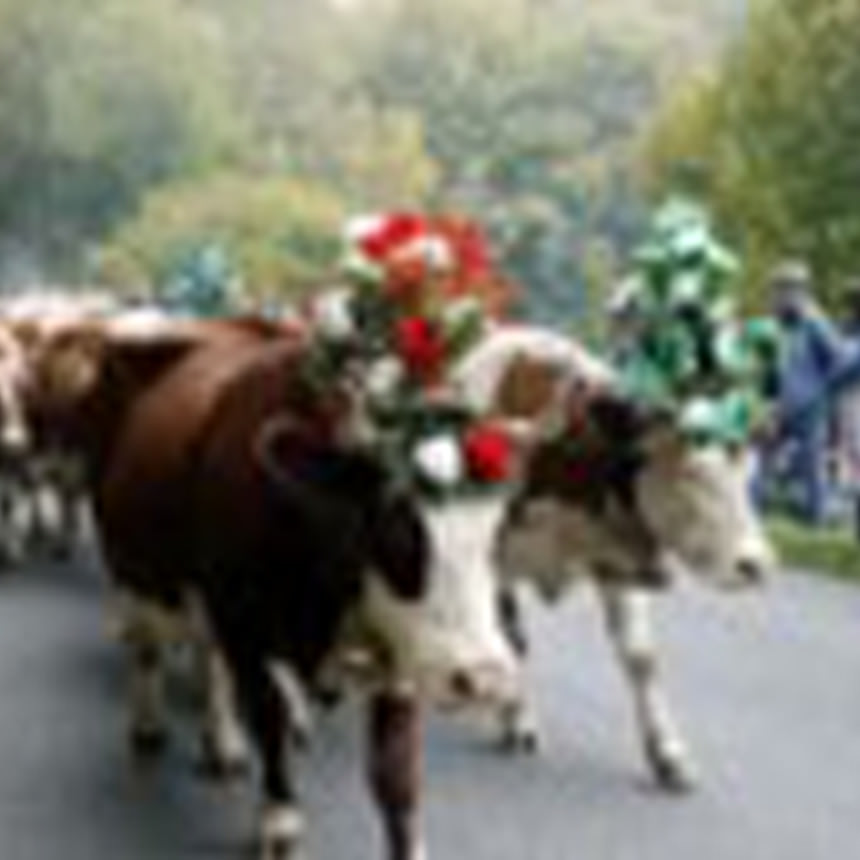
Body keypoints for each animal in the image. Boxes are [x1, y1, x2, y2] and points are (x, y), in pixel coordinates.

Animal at [454, 324, 776, 792]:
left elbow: (642, 657)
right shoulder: (492, 559)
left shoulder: (617, 561)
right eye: (691, 473)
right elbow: (512, 637)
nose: (755, 565)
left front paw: (668, 754)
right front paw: (517, 718)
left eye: (749, 474)